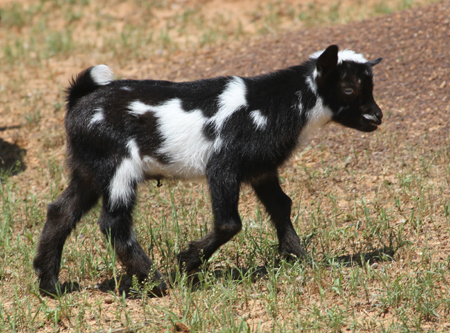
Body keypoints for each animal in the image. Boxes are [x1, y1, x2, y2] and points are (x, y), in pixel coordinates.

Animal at [33, 44, 382, 296]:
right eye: (348, 89)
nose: (377, 117)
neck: (272, 104)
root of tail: (80, 100)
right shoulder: (224, 164)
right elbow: (230, 223)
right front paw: (187, 262)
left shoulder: (261, 169)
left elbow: (281, 206)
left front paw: (299, 258)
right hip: (118, 164)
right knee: (113, 224)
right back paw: (157, 283)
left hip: (89, 169)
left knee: (61, 212)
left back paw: (50, 286)